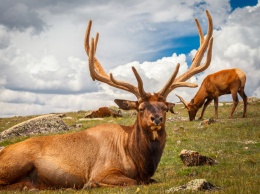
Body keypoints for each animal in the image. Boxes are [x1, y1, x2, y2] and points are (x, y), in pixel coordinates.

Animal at [0, 9, 213, 190]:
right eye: (140, 108)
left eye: (164, 107)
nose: (157, 119)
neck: (139, 160)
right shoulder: (102, 170)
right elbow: (133, 182)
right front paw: (90, 184)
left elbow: (151, 180)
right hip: (17, 161)